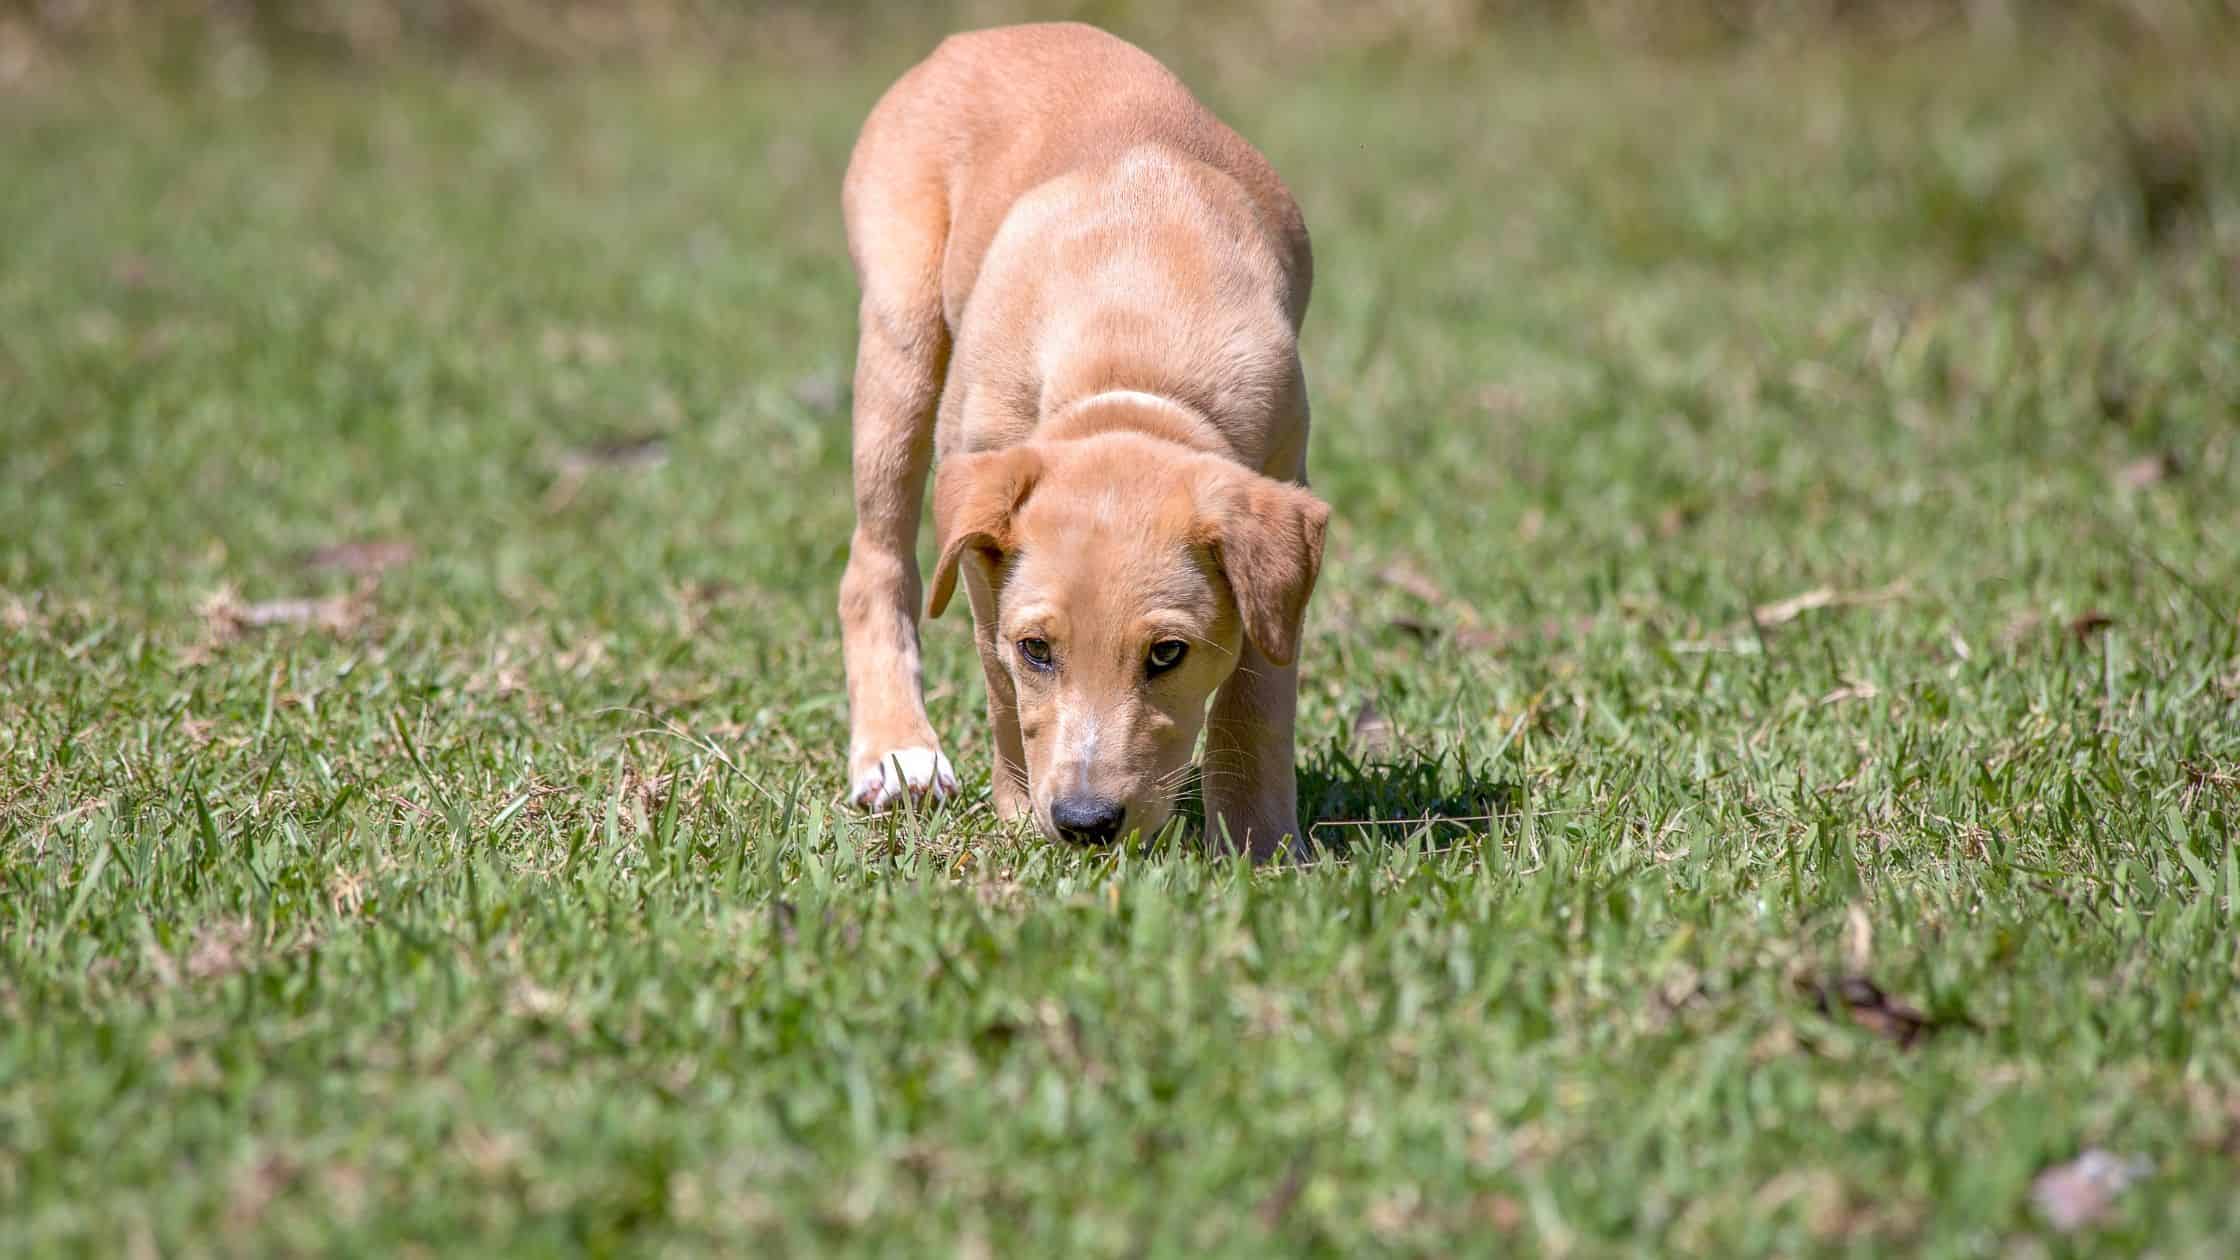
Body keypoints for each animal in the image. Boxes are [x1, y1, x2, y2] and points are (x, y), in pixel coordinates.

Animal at [842, 24, 1326, 856]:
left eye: (1167, 654)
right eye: (1038, 649)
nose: (1086, 825)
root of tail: (981, 35)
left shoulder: (1278, 474)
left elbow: (1260, 689)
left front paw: (1257, 844)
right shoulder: (980, 519)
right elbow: (1002, 687)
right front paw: (1017, 813)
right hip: (900, 330)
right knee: (873, 563)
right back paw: (898, 756)